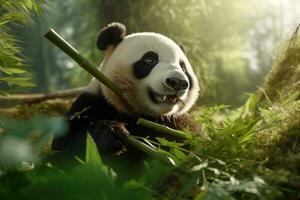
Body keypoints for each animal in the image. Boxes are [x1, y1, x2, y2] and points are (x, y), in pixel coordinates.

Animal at [52, 22, 205, 170]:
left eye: (183, 67)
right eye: (150, 60)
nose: (177, 82)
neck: (143, 116)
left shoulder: (177, 125)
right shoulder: (90, 105)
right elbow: (62, 155)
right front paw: (109, 132)